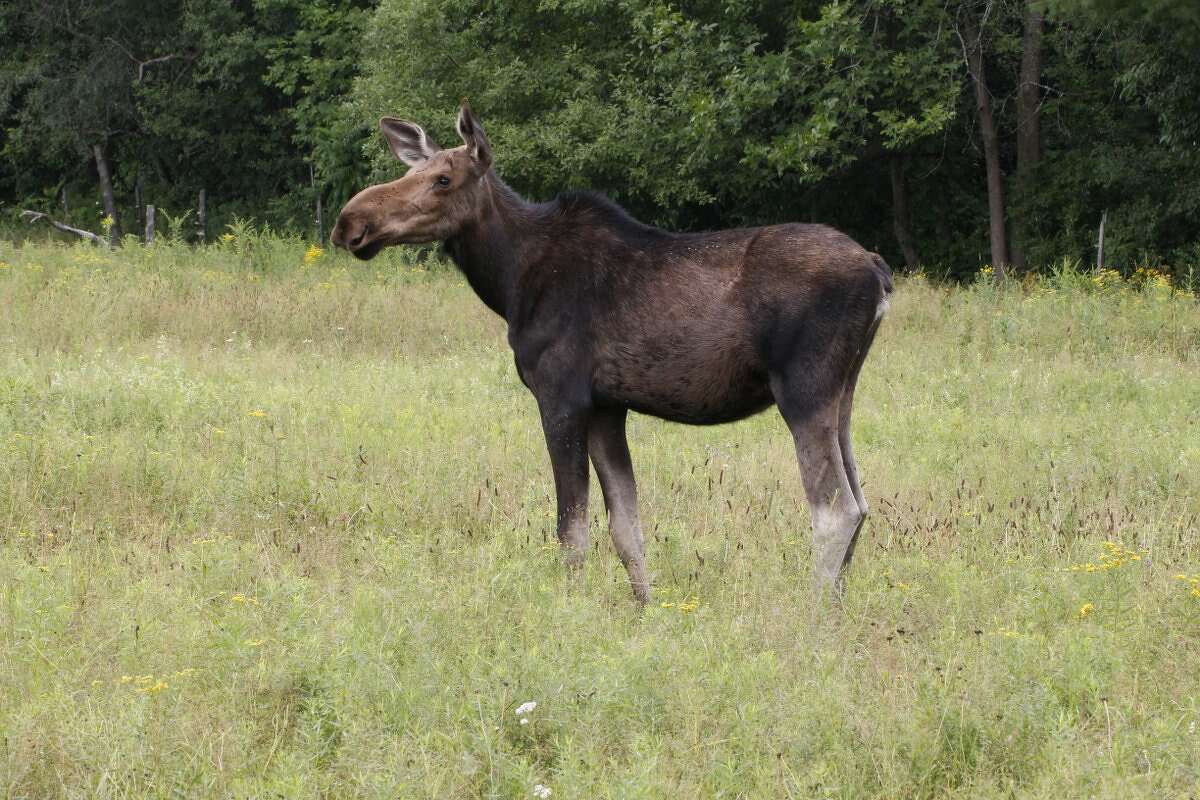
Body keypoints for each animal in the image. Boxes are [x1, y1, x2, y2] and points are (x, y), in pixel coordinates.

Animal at [331, 104, 893, 604]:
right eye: (412, 171)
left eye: (443, 179)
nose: (350, 222)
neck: (509, 280)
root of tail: (877, 271)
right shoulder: (606, 406)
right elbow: (626, 526)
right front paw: (644, 606)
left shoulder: (561, 396)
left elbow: (571, 529)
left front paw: (572, 611)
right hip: (842, 393)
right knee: (861, 502)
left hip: (803, 389)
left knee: (835, 508)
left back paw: (814, 612)